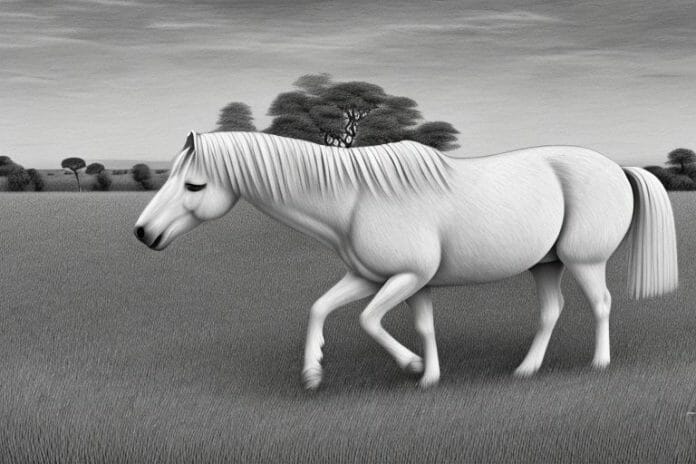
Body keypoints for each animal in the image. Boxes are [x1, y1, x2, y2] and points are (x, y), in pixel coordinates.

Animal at [134, 131, 678, 390]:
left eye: (194, 185)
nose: (143, 233)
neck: (356, 198)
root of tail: (617, 167)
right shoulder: (379, 277)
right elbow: (327, 309)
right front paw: (316, 373)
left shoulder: (406, 277)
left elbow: (370, 321)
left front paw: (413, 366)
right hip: (546, 264)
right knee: (551, 312)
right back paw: (525, 370)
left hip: (584, 261)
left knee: (602, 304)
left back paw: (599, 364)